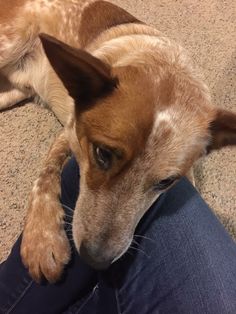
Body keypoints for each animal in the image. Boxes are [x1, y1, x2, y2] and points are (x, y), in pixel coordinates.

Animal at [0, 0, 236, 284]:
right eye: (102, 153)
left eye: (165, 182)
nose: (96, 260)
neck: (165, 65)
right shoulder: (71, 130)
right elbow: (46, 173)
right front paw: (43, 241)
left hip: (11, 93)